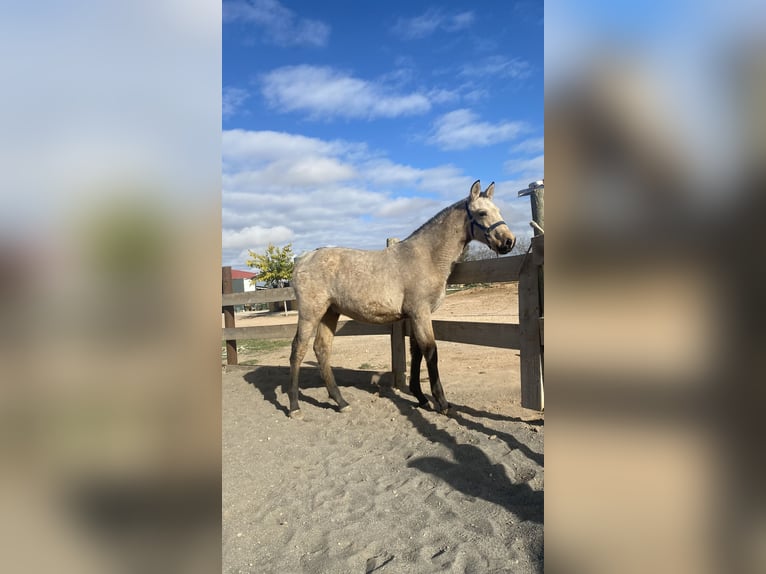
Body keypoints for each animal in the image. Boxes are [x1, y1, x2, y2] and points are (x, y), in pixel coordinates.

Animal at [288, 180, 516, 418]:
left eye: (498, 210)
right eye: (482, 213)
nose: (509, 241)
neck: (426, 256)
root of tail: (303, 259)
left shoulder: (413, 316)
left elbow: (416, 352)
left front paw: (421, 397)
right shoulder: (420, 313)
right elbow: (430, 351)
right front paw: (442, 403)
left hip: (330, 312)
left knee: (322, 349)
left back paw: (341, 402)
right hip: (311, 313)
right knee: (298, 350)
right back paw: (294, 406)